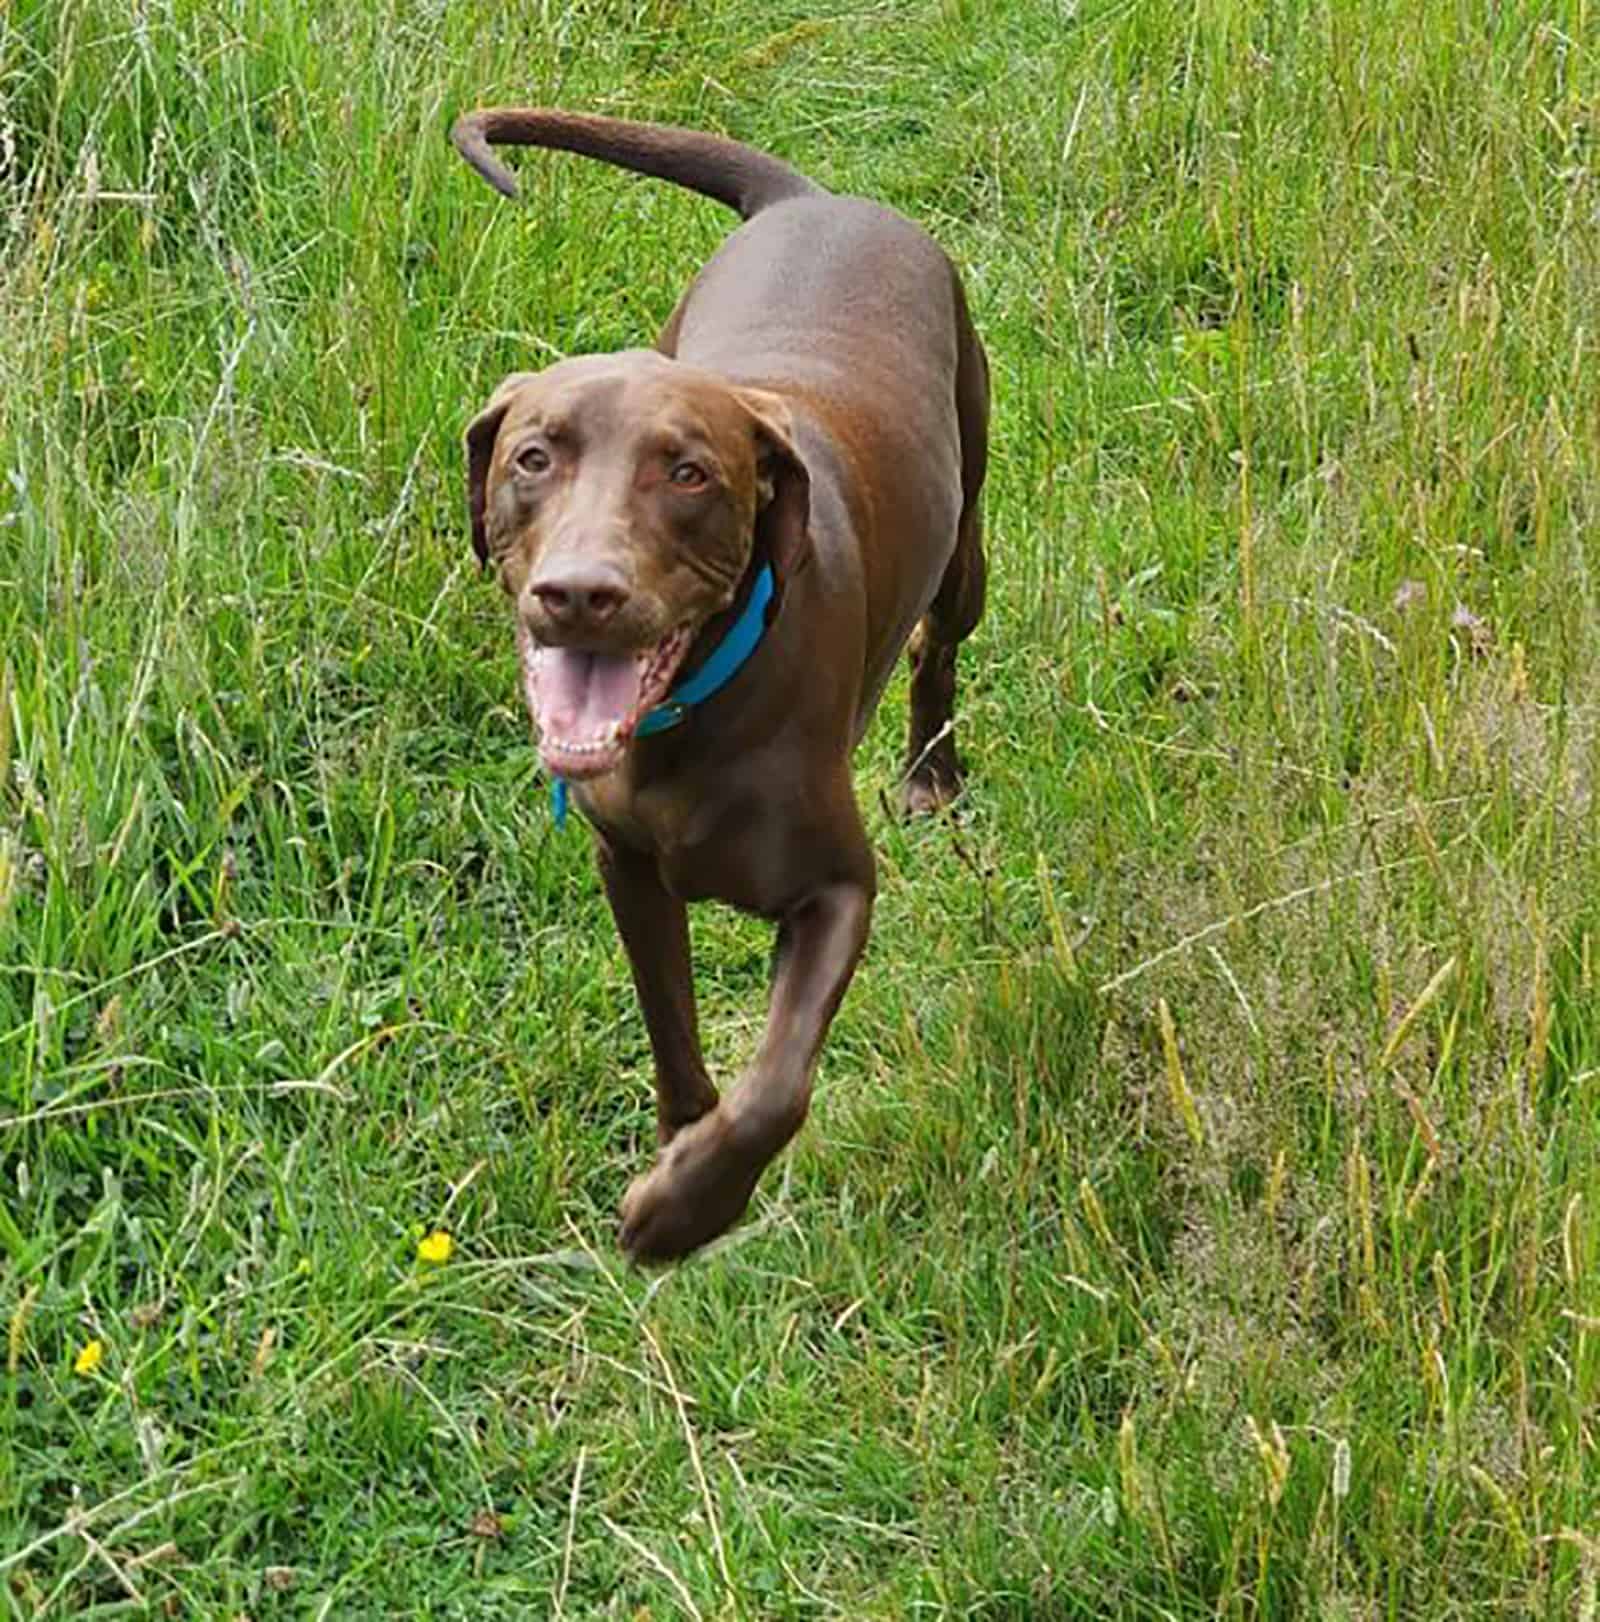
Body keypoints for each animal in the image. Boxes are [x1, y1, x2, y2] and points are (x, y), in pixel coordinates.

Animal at [441, 107, 980, 1258]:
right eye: (533, 457)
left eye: (687, 472)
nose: (580, 593)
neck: (691, 718)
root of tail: (811, 199)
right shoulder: (629, 870)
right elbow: (672, 1028)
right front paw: (680, 1149)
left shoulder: (836, 892)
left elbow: (775, 1087)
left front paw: (686, 1210)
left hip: (967, 534)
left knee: (938, 648)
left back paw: (930, 774)